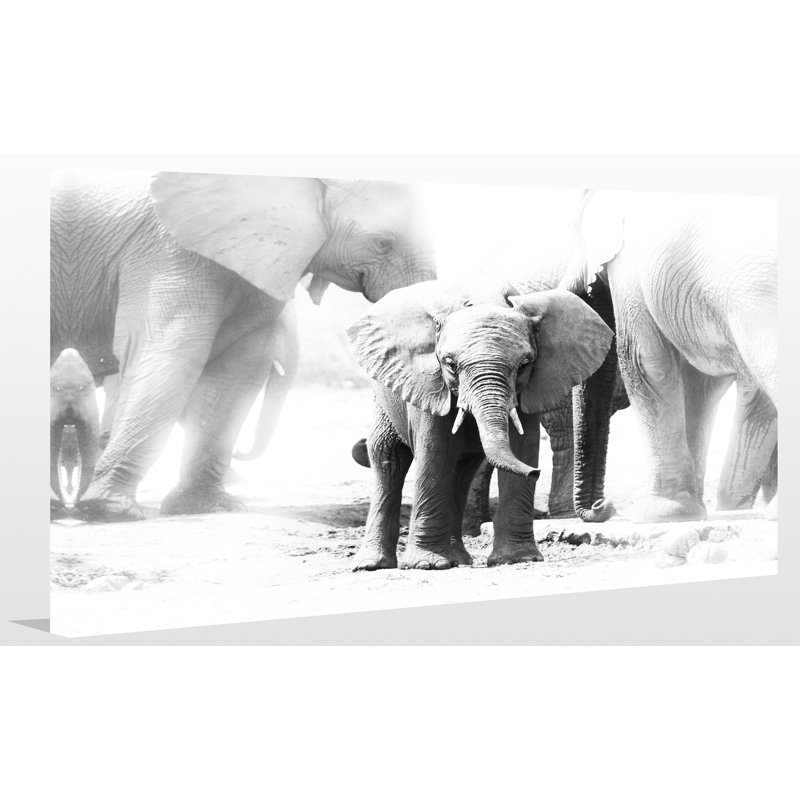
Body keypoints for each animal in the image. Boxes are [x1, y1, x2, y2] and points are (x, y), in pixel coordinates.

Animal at [346, 279, 613, 570]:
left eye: (525, 364)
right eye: (450, 363)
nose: (535, 472)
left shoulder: (531, 388)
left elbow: (522, 446)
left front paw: (518, 559)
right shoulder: (429, 384)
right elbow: (434, 453)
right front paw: (426, 565)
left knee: (462, 469)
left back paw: (458, 559)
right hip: (385, 397)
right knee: (388, 457)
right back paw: (372, 564)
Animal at [562, 190, 777, 523]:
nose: (603, 506)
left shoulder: (630, 263)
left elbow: (642, 359)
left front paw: (660, 514)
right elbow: (698, 384)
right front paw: (690, 512)